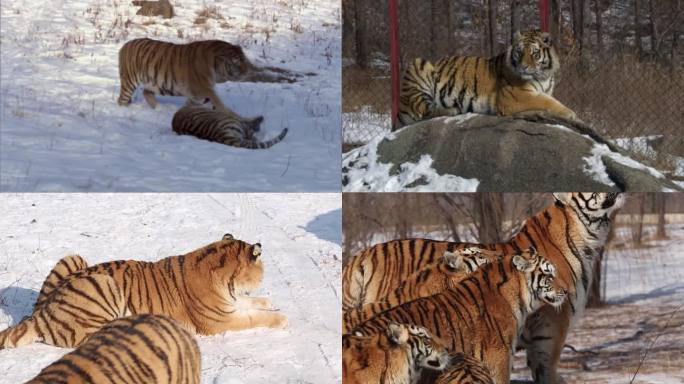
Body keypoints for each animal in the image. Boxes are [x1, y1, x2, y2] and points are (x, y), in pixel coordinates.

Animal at [0, 232, 286, 350]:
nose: (265, 275)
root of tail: (40, 315)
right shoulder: (219, 320)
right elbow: (253, 318)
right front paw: (281, 317)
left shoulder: (230, 305)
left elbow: (251, 304)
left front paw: (268, 301)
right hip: (103, 284)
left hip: (74, 258)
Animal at [398, 30, 576, 128]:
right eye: (519, 52)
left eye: (534, 53)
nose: (523, 67)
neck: (544, 76)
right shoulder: (516, 96)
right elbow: (548, 102)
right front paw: (571, 114)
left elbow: (549, 100)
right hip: (419, 64)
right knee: (424, 112)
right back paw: (452, 109)